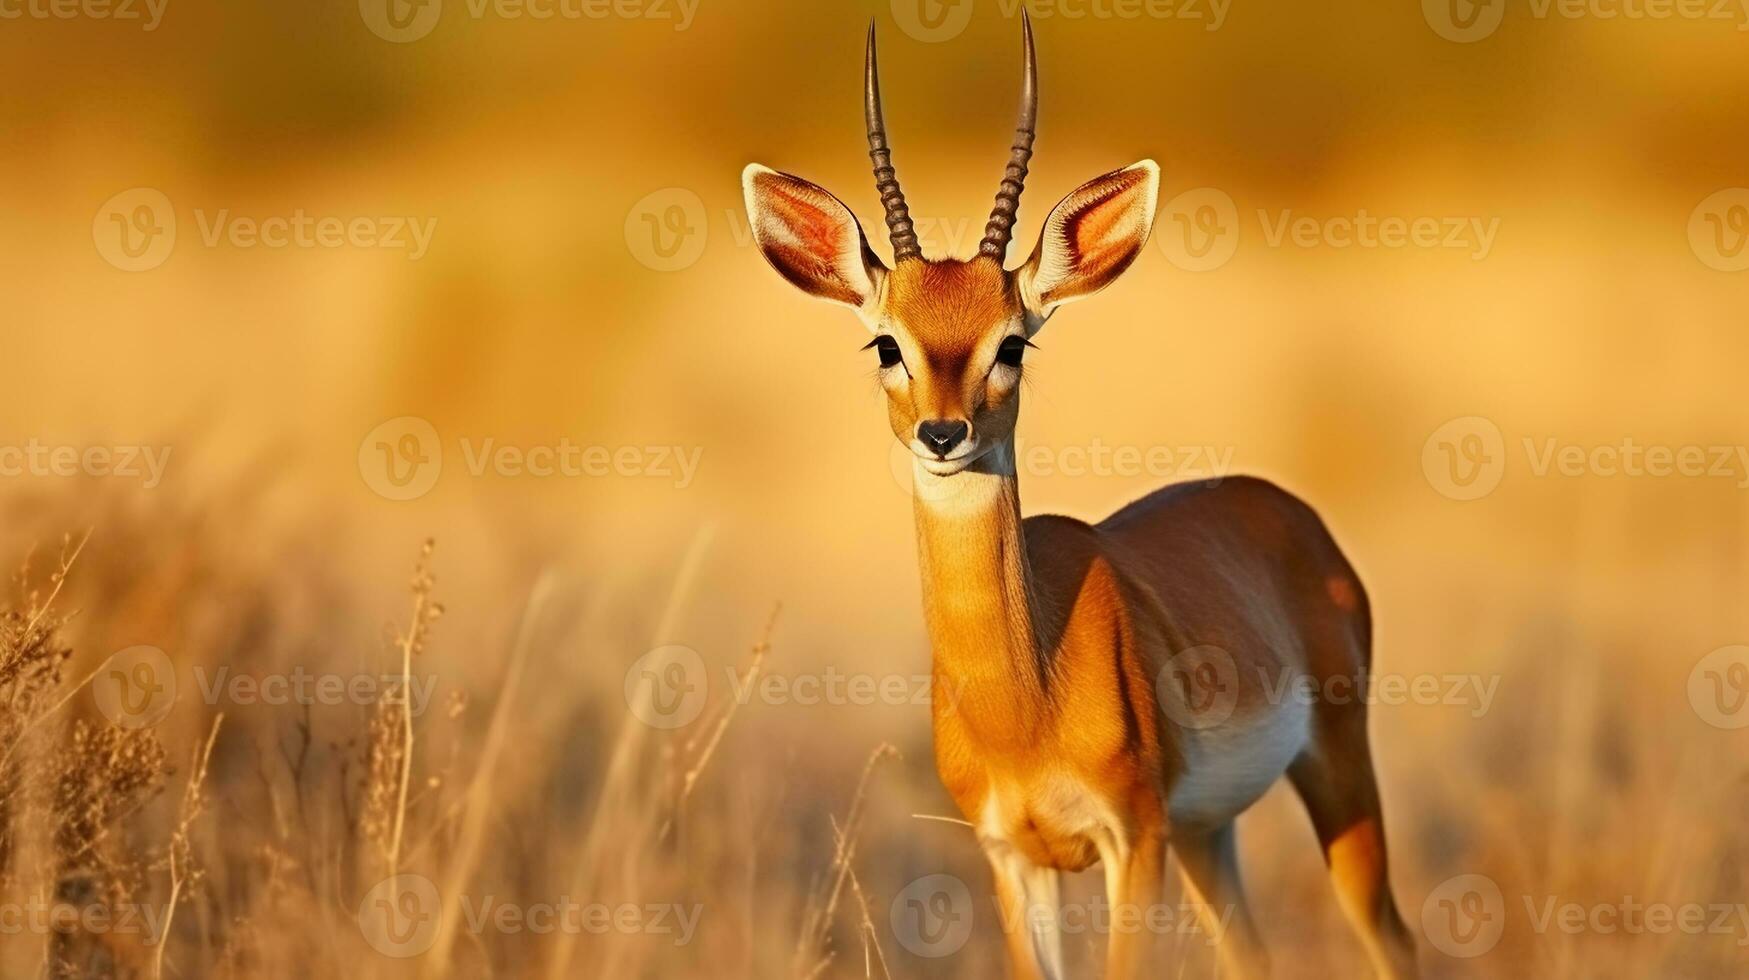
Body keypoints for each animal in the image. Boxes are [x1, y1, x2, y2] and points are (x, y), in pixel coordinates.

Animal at [745, 15, 1413, 980]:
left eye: (1012, 343)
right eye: (885, 344)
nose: (942, 435)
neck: (1025, 706)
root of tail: (1282, 508)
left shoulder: (1130, 840)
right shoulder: (1013, 858)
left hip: (1334, 774)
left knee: (1393, 937)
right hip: (1207, 833)